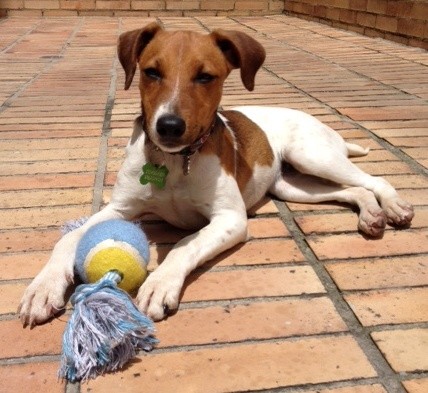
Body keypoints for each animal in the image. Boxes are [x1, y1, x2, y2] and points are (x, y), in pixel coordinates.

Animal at [18, 23, 412, 326]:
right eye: (151, 72)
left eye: (205, 76)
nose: (169, 126)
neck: (174, 162)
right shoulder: (119, 209)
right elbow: (69, 238)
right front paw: (43, 287)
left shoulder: (229, 218)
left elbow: (184, 244)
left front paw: (160, 284)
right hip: (293, 186)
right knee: (353, 191)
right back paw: (372, 216)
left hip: (313, 156)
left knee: (375, 181)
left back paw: (394, 208)